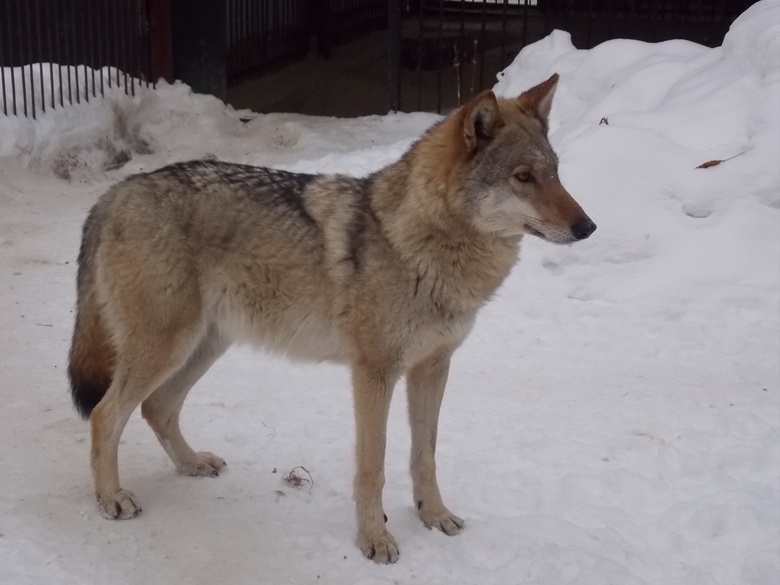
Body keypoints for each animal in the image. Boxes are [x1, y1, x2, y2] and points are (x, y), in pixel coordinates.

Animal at [68, 73, 596, 560]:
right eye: (523, 177)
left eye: (555, 173)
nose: (588, 226)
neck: (419, 245)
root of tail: (116, 192)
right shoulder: (375, 373)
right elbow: (373, 467)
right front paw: (375, 540)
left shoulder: (433, 367)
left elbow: (425, 456)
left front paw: (434, 515)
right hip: (167, 348)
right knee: (105, 414)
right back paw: (112, 498)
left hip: (204, 346)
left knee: (157, 408)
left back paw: (192, 463)